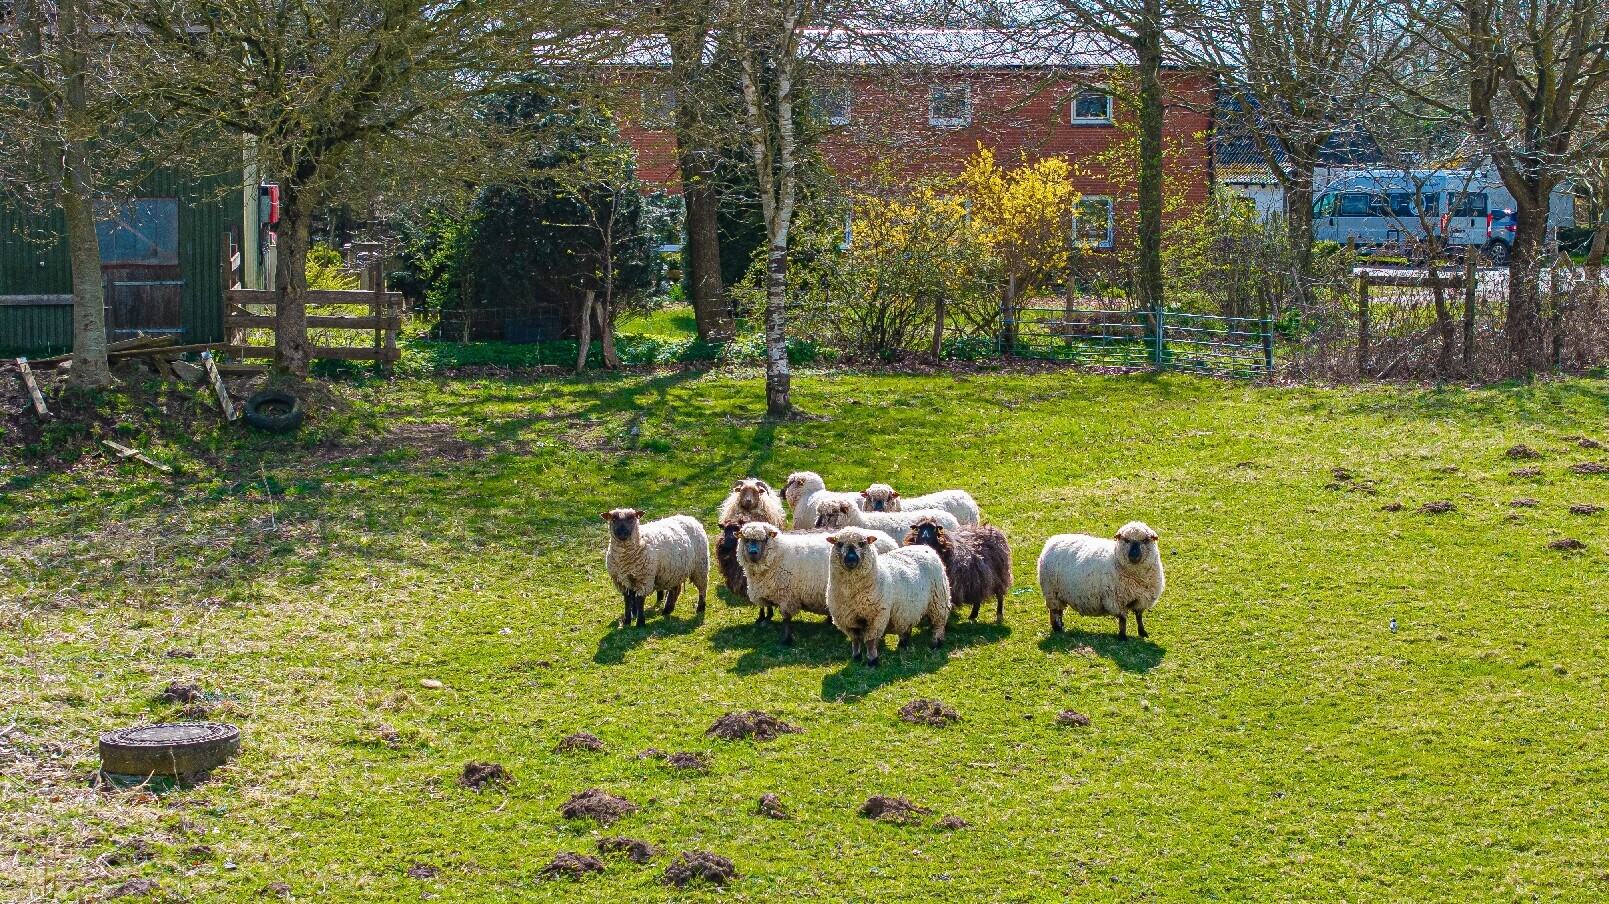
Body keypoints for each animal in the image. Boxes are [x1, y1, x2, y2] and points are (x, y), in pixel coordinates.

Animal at [735, 522, 897, 644]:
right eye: (746, 539)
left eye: (764, 538)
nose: (753, 552)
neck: (778, 555)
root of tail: (890, 540)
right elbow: (765, 606)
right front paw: (763, 618)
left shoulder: (787, 596)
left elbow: (786, 619)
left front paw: (786, 640)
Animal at [824, 527, 952, 667]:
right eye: (839, 544)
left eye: (862, 543)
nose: (851, 559)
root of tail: (924, 547)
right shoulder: (846, 618)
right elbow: (855, 639)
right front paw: (856, 656)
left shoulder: (876, 616)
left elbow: (870, 641)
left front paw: (872, 661)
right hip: (909, 606)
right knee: (907, 623)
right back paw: (903, 643)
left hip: (939, 600)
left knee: (939, 623)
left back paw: (936, 643)